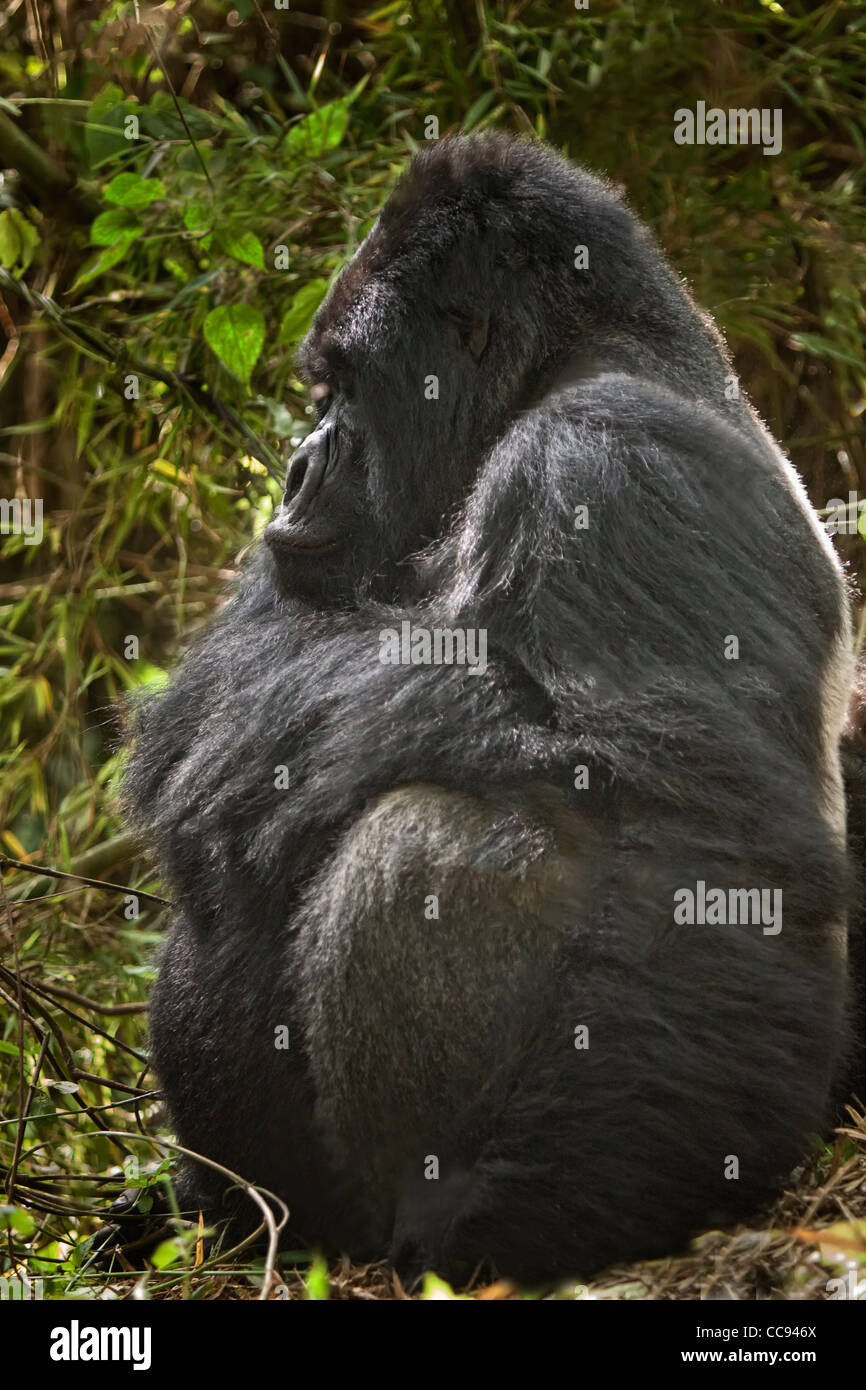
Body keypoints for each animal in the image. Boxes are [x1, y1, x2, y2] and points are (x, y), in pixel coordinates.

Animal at [125, 135, 856, 1284]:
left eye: (343, 388)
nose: (294, 468)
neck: (564, 361)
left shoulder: (611, 460)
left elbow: (702, 836)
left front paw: (545, 1214)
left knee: (429, 833)